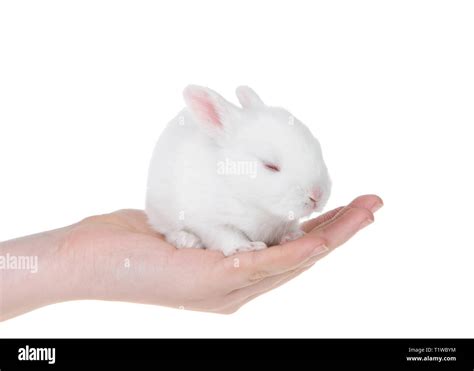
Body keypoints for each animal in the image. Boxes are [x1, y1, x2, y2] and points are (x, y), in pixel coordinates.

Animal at [146, 85, 332, 258]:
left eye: (317, 148)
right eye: (270, 166)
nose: (317, 194)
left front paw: (293, 236)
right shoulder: (209, 222)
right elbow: (226, 235)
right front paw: (244, 248)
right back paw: (187, 240)